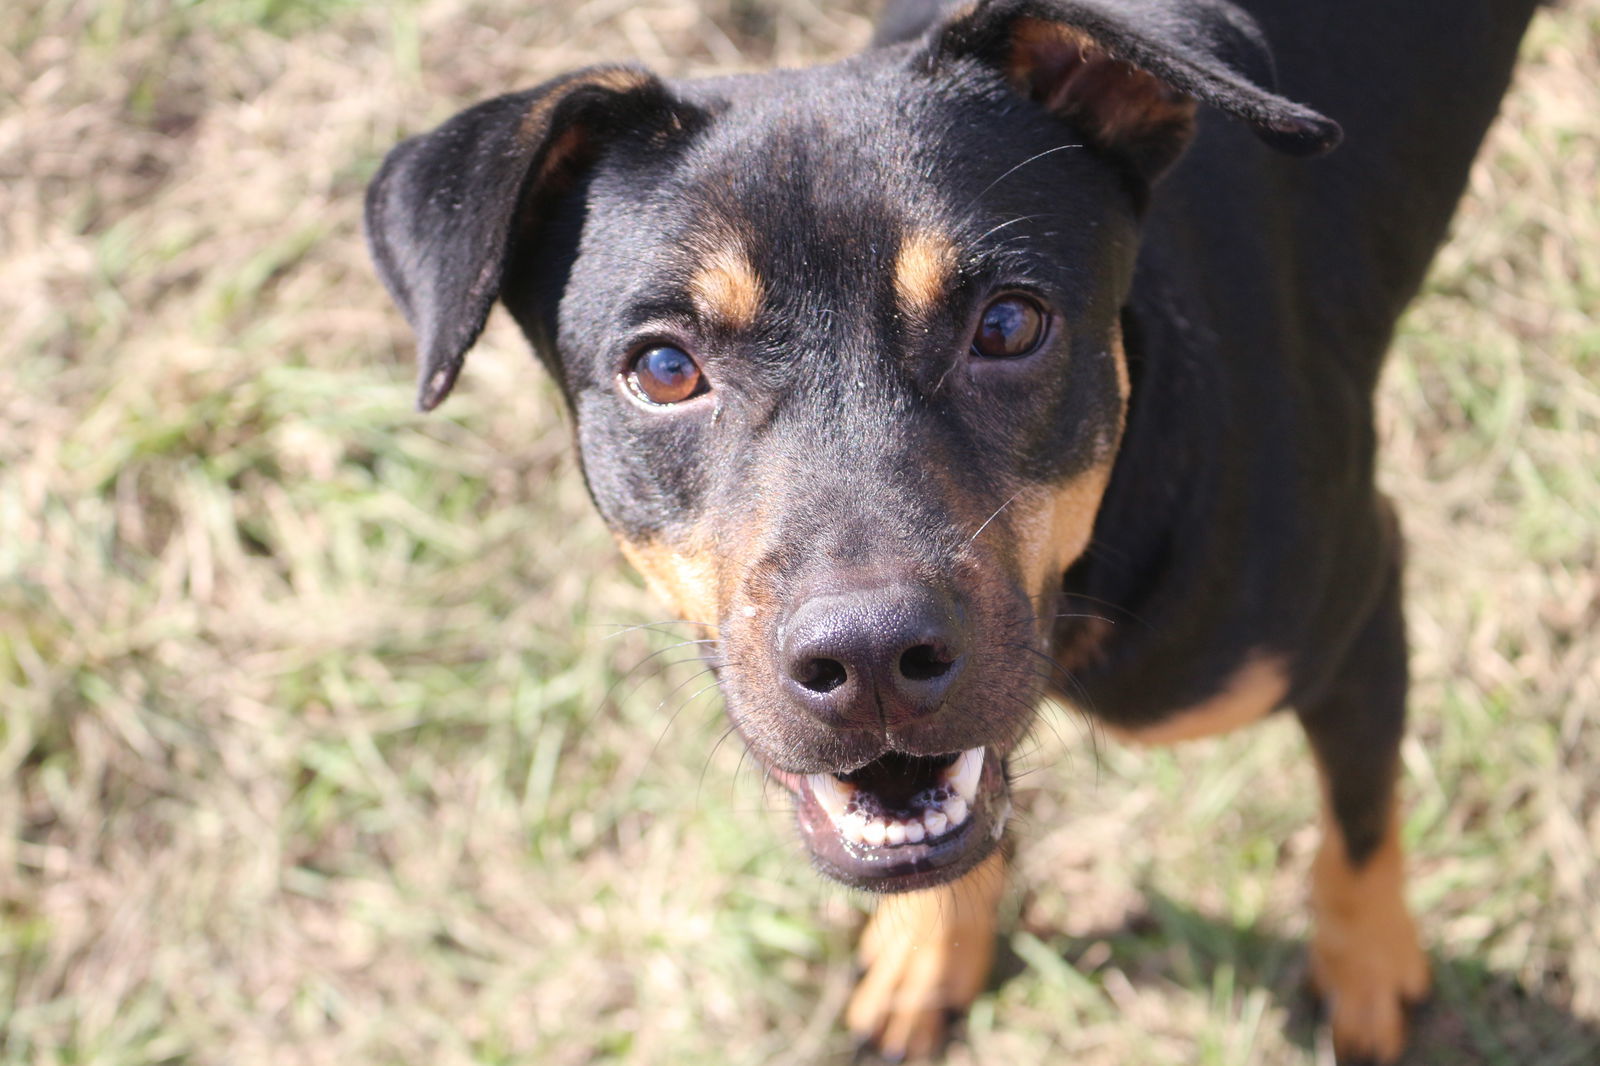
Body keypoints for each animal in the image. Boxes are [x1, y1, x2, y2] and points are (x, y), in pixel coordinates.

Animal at [363, 2, 1536, 1056]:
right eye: (662, 368)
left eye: (1009, 324)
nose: (869, 658)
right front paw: (929, 955)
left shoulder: (1358, 609)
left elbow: (1360, 826)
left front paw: (1369, 972)